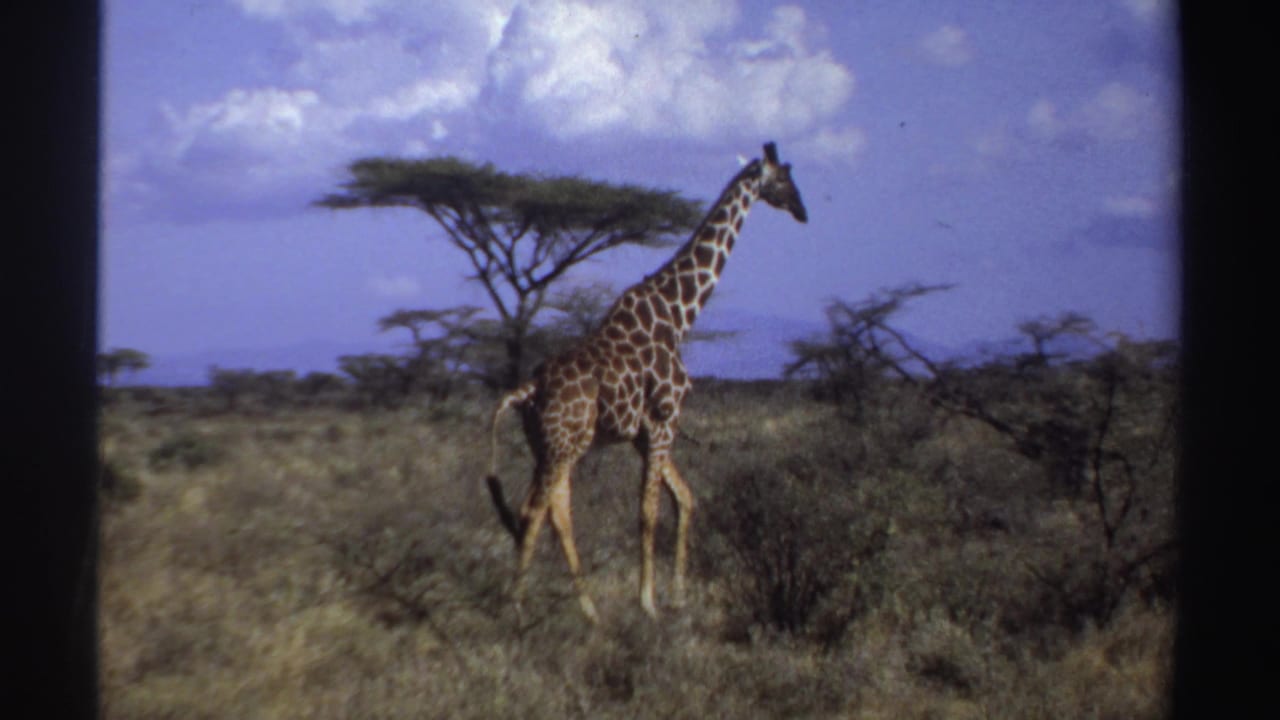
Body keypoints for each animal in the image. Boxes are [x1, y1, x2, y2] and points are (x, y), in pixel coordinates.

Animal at [485, 142, 807, 621]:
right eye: (784, 178)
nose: (803, 211)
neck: (678, 315)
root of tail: (528, 389)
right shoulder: (663, 421)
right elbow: (648, 511)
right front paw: (648, 602)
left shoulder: (646, 431)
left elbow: (685, 498)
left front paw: (677, 595)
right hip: (563, 446)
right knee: (534, 510)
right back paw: (517, 607)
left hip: (552, 445)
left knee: (556, 511)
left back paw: (589, 611)